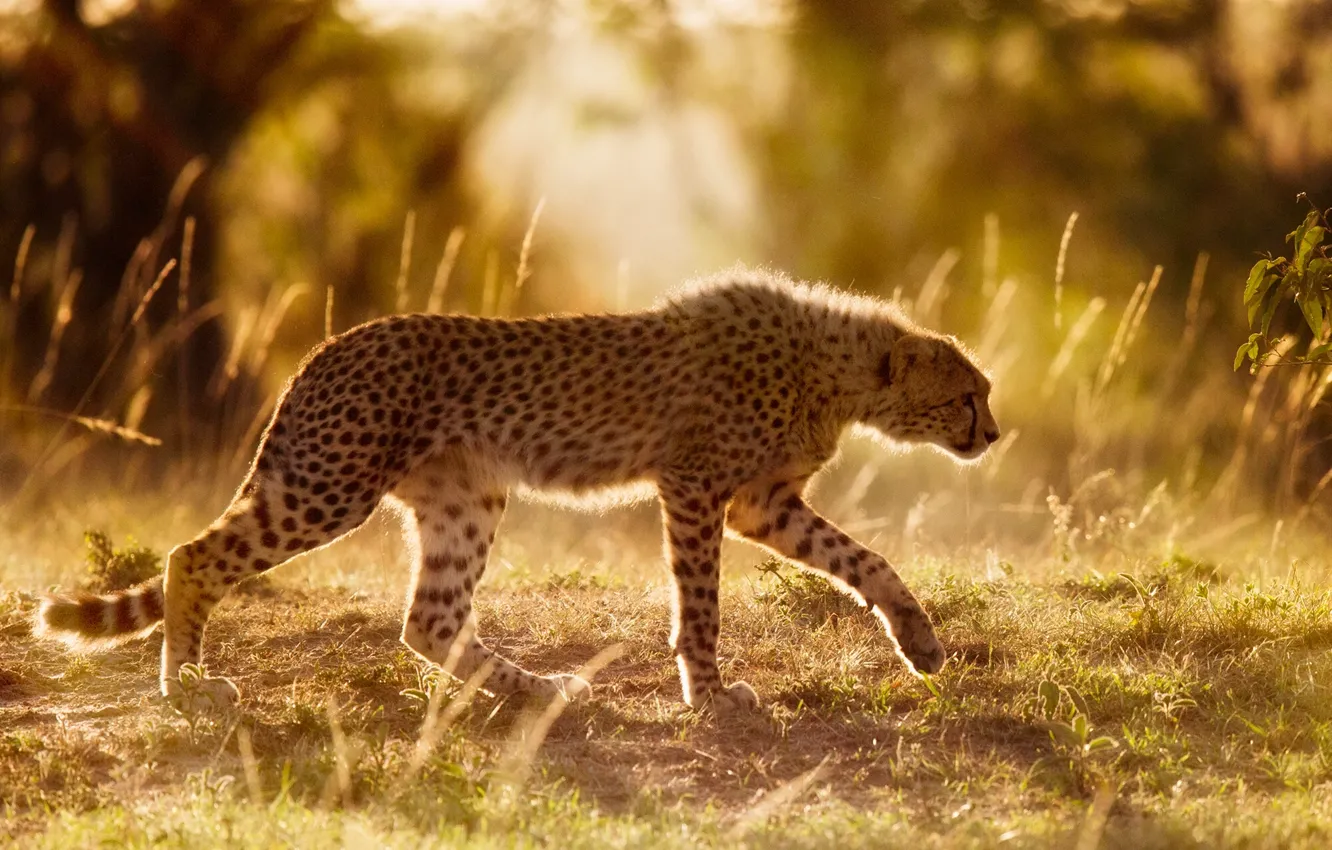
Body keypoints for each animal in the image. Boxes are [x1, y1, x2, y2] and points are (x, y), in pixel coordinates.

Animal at [36, 267, 1000, 713]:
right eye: (968, 394)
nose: (993, 434)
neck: (839, 370)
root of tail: (328, 345)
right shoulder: (695, 488)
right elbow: (701, 605)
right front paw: (709, 693)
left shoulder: (763, 505)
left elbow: (865, 560)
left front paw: (920, 642)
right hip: (329, 486)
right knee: (191, 556)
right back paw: (188, 686)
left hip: (465, 499)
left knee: (428, 622)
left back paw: (537, 690)